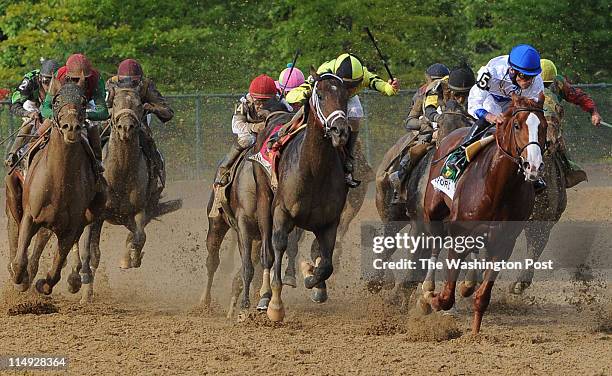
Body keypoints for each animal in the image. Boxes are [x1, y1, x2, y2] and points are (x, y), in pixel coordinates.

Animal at [8, 83, 104, 296]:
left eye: (83, 101)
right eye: (56, 100)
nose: (71, 127)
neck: (59, 181)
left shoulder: (71, 226)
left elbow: (56, 270)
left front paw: (43, 283)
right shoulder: (30, 216)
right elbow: (19, 262)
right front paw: (21, 278)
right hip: (13, 199)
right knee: (15, 233)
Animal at [253, 70, 350, 320]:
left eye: (345, 97)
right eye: (321, 95)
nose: (340, 131)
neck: (314, 171)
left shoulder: (329, 222)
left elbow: (326, 264)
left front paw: (311, 277)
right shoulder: (282, 212)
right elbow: (278, 245)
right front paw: (275, 305)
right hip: (263, 200)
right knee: (267, 252)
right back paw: (264, 295)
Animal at [420, 94, 544, 334]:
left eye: (543, 126)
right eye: (517, 125)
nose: (533, 166)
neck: (496, 186)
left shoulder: (505, 242)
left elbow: (482, 296)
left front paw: (475, 334)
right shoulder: (459, 234)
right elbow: (446, 297)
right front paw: (434, 299)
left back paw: (467, 283)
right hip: (433, 212)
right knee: (435, 243)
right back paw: (428, 289)